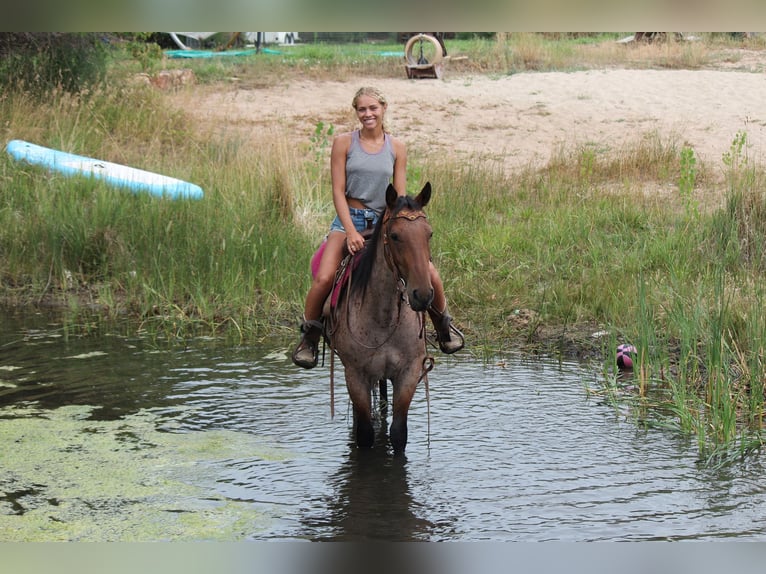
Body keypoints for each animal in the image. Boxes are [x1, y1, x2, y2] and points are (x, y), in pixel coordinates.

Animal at [325, 182, 435, 454]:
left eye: (429, 234)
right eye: (394, 236)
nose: (423, 294)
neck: (383, 318)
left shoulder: (408, 373)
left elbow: (398, 433)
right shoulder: (355, 375)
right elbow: (364, 435)